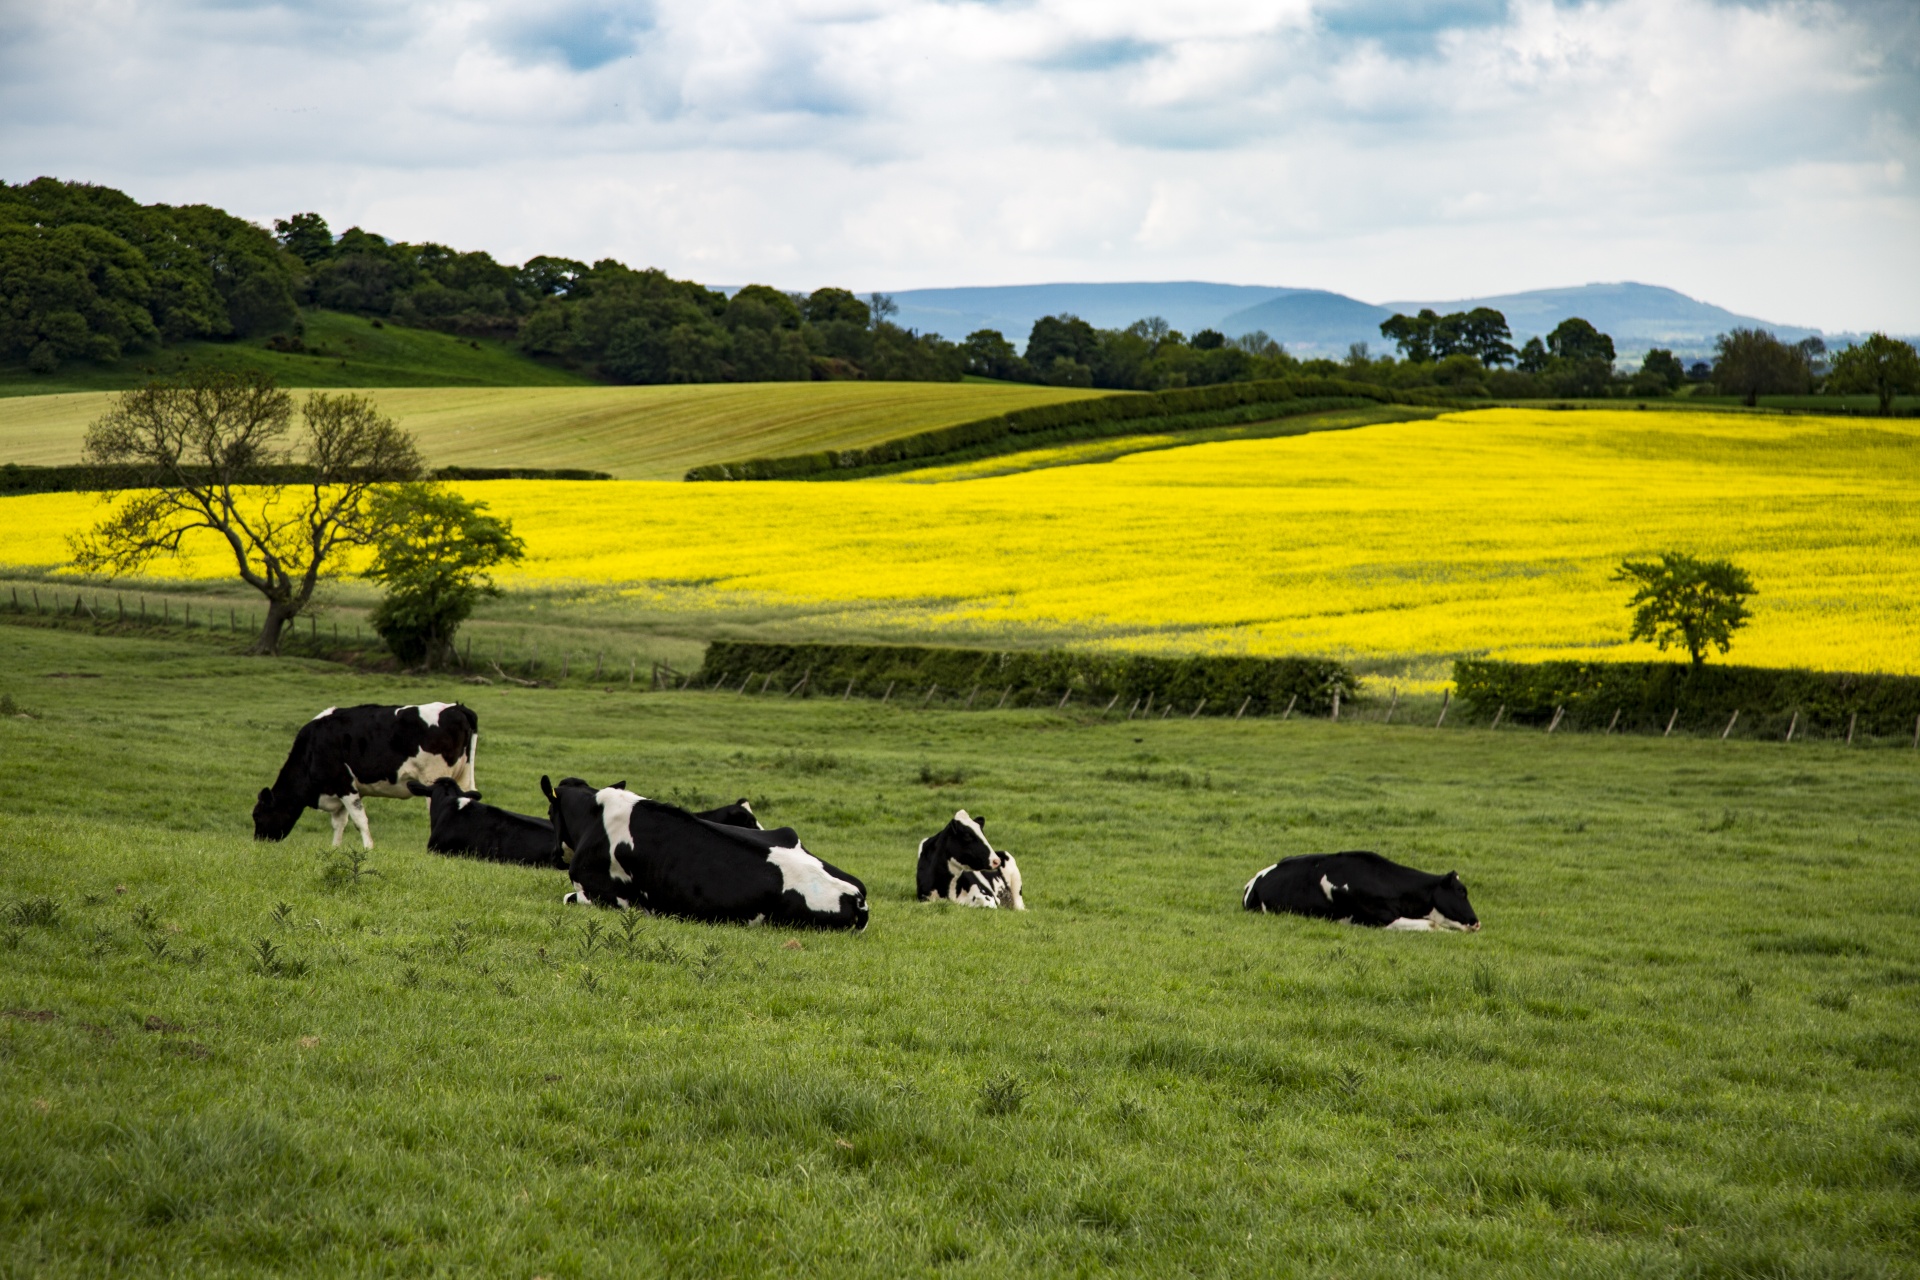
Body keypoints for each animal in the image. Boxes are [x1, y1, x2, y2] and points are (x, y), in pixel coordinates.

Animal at [251, 702, 476, 852]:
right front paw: (335, 848)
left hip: (433, 778)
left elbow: (359, 820)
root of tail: (456, 707)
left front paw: (368, 849)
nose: (258, 842)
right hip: (464, 776)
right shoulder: (338, 791)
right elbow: (339, 823)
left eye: (257, 815)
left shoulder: (344, 785)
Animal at [541, 771, 871, 932]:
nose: (555, 857)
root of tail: (856, 895)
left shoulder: (607, 897)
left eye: (548, 812)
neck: (595, 818)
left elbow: (568, 898)